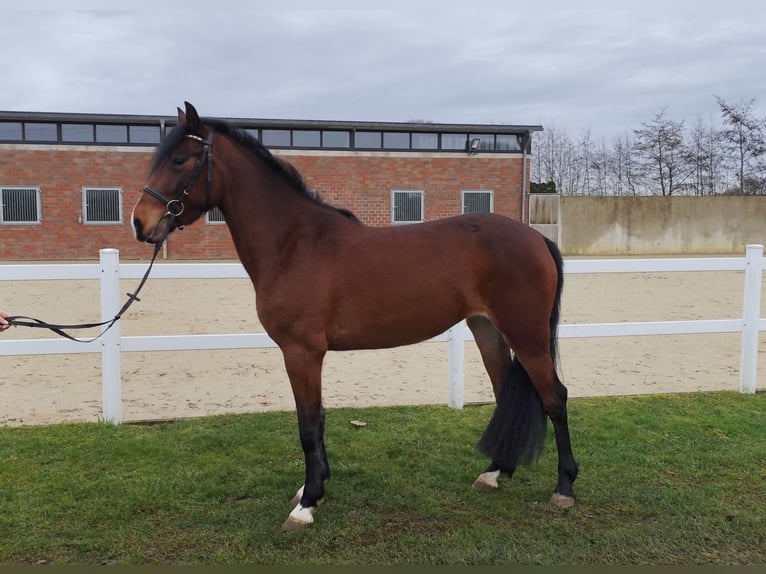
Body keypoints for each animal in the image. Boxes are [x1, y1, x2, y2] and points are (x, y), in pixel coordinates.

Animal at [132, 101, 580, 532]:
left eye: (180, 159)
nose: (141, 223)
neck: (294, 244)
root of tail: (535, 237)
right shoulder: (306, 355)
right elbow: (318, 421)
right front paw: (313, 489)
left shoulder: (301, 352)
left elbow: (308, 425)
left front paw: (307, 505)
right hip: (488, 330)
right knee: (507, 393)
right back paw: (494, 473)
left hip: (527, 335)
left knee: (555, 398)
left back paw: (564, 488)